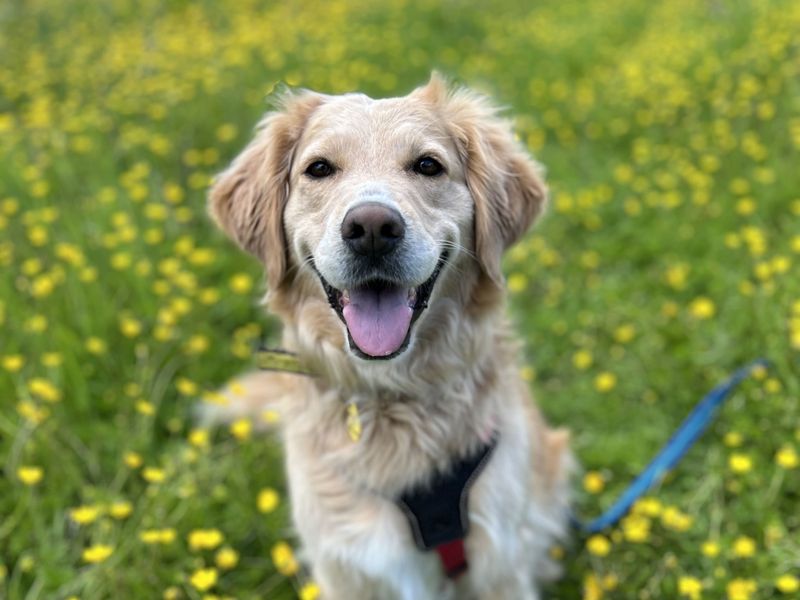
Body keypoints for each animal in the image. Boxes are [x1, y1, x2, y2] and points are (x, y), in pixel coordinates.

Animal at [209, 75, 572, 600]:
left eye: (428, 165)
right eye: (319, 168)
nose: (372, 228)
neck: (391, 393)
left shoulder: (498, 560)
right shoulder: (347, 565)